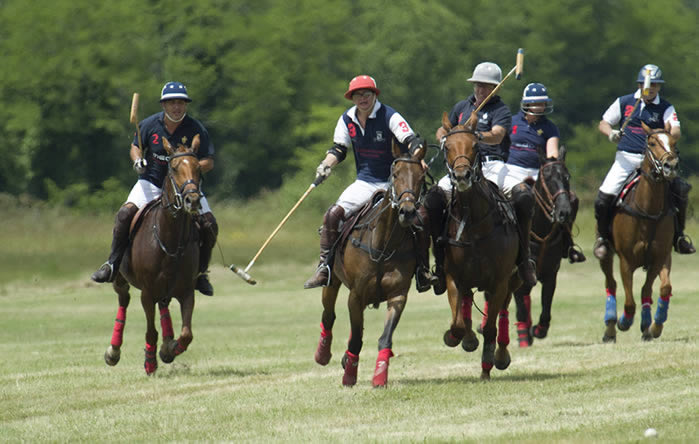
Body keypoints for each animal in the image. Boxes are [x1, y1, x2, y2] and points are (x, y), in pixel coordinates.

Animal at [104, 135, 202, 374]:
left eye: (198, 168)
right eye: (174, 168)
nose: (193, 200)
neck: (171, 239)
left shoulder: (187, 290)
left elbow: (187, 334)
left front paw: (170, 349)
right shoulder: (147, 293)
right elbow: (150, 331)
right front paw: (151, 360)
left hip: (166, 286)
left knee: (164, 305)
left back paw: (168, 341)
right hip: (121, 278)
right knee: (123, 300)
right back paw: (114, 351)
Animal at [314, 140, 430, 386]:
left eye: (421, 176)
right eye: (395, 174)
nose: (407, 211)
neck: (384, 243)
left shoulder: (398, 295)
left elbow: (384, 337)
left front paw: (379, 376)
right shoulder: (356, 295)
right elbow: (356, 338)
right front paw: (349, 376)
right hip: (333, 280)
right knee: (328, 315)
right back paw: (322, 354)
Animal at [440, 112, 524, 380]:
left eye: (476, 146)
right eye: (447, 147)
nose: (462, 177)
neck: (474, 222)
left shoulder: (499, 281)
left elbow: (490, 327)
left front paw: (487, 366)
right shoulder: (453, 276)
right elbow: (457, 323)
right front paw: (458, 338)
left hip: (514, 278)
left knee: (503, 312)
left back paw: (501, 355)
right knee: (468, 303)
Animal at [600, 123, 680, 342]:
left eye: (674, 142)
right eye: (651, 143)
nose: (670, 166)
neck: (648, 211)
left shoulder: (659, 256)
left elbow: (653, 289)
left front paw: (651, 327)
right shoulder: (626, 261)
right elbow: (629, 302)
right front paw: (624, 322)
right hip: (607, 256)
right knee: (611, 284)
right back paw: (610, 328)